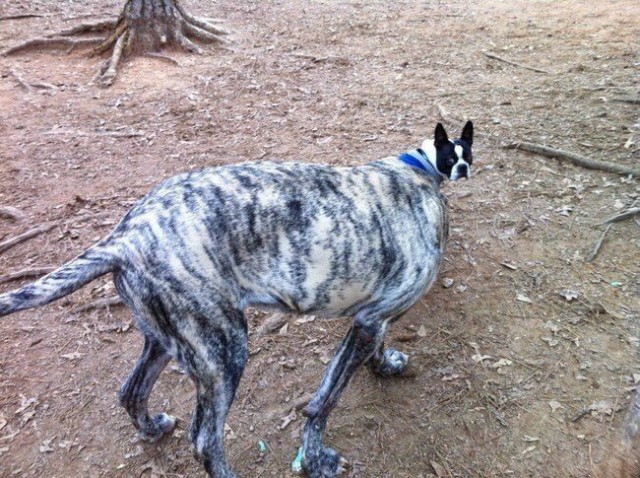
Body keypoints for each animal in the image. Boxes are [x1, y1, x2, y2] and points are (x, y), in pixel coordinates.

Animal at [1, 121, 476, 476]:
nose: (464, 168)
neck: (418, 171)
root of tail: (125, 237)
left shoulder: (371, 319)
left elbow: (375, 347)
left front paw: (386, 363)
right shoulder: (365, 325)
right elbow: (322, 404)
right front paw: (317, 460)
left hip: (168, 341)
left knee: (130, 391)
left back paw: (152, 428)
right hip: (225, 351)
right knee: (205, 441)